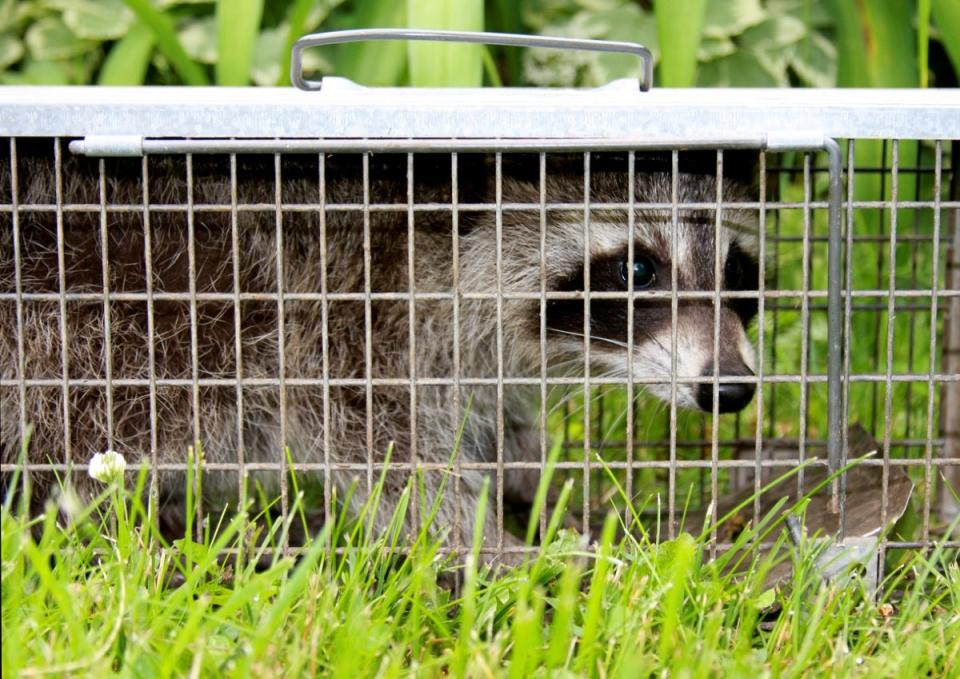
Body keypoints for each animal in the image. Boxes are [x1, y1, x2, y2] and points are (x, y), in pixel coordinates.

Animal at [3, 145, 760, 564]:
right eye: (637, 271)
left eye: (738, 271)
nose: (730, 387)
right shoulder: (342, 320)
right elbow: (387, 454)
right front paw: (493, 547)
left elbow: (496, 425)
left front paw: (543, 484)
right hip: (79, 321)